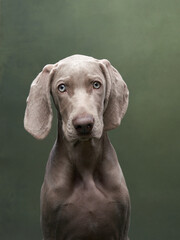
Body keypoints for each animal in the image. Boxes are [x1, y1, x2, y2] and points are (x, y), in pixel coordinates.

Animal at [24, 54, 131, 240]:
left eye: (96, 84)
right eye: (62, 88)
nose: (84, 125)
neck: (85, 160)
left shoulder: (121, 230)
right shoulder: (52, 229)